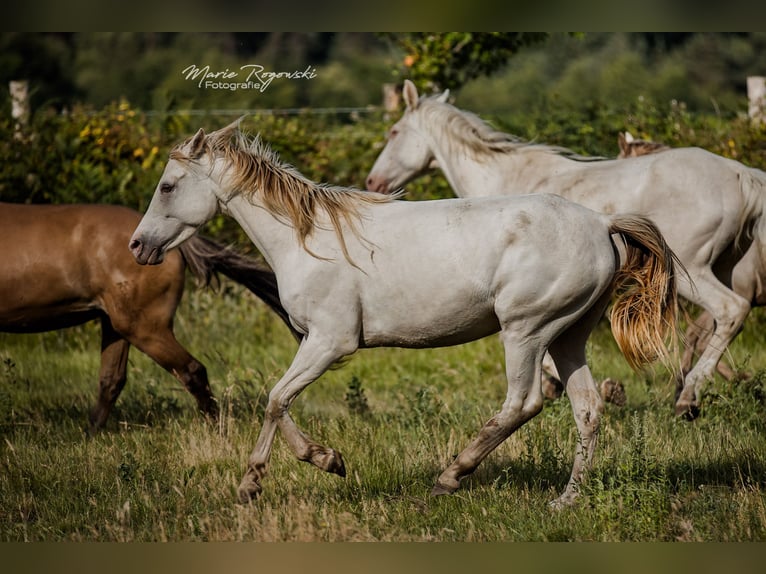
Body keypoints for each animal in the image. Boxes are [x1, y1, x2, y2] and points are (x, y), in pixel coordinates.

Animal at [0, 202, 298, 431]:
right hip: (117, 324)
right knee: (111, 380)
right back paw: (90, 434)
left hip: (143, 327)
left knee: (191, 370)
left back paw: (216, 429)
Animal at [129, 119, 680, 507]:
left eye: (168, 185)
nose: (137, 245)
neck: (306, 240)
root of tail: (603, 223)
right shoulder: (316, 343)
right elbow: (278, 402)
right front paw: (265, 482)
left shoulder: (329, 342)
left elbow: (275, 399)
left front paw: (314, 464)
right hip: (569, 336)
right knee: (587, 409)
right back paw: (565, 501)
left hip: (526, 331)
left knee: (522, 404)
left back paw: (450, 477)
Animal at [366, 79, 766, 419]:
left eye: (394, 132)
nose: (374, 182)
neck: (503, 178)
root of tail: (741, 174)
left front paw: (575, 385)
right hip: (722, 268)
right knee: (710, 326)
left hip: (693, 273)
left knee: (730, 310)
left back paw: (688, 397)